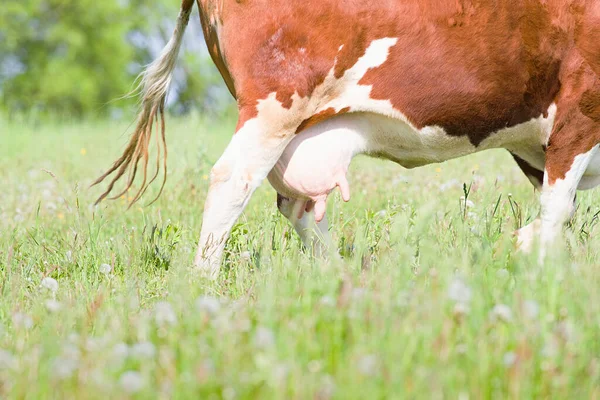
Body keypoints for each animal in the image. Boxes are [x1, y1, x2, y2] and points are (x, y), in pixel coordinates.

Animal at [92, 0, 600, 276]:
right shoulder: (581, 105)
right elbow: (558, 208)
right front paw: (525, 254)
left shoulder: (535, 141)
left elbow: (562, 210)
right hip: (275, 103)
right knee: (232, 180)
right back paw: (205, 283)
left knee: (296, 203)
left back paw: (336, 276)